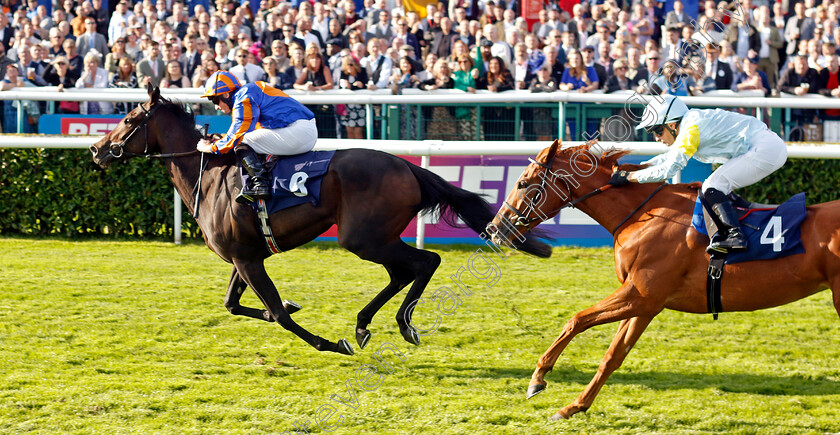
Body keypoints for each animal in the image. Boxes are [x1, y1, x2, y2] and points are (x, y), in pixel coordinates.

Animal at [90, 87, 552, 356]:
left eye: (128, 120)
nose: (96, 150)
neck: (210, 177)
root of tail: (407, 166)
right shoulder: (245, 256)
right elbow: (235, 305)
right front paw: (296, 310)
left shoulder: (247, 258)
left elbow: (277, 313)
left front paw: (331, 342)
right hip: (373, 237)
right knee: (405, 271)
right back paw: (366, 325)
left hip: (363, 238)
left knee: (425, 262)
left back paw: (400, 325)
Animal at [486, 141, 840, 420]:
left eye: (523, 183)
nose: (495, 228)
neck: (645, 215)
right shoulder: (646, 304)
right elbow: (613, 355)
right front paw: (573, 406)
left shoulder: (640, 294)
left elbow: (576, 320)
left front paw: (538, 378)